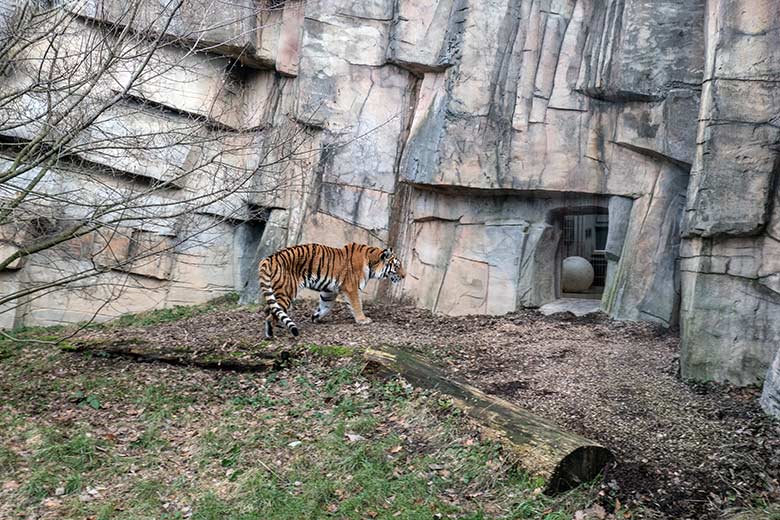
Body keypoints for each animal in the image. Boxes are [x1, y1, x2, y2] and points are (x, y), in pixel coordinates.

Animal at [260, 243, 408, 340]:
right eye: (397, 266)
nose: (404, 276)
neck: (372, 264)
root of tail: (269, 258)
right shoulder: (351, 288)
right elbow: (357, 304)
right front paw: (363, 320)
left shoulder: (329, 291)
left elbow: (326, 307)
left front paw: (315, 317)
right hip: (287, 291)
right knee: (271, 316)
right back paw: (270, 335)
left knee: (270, 309)